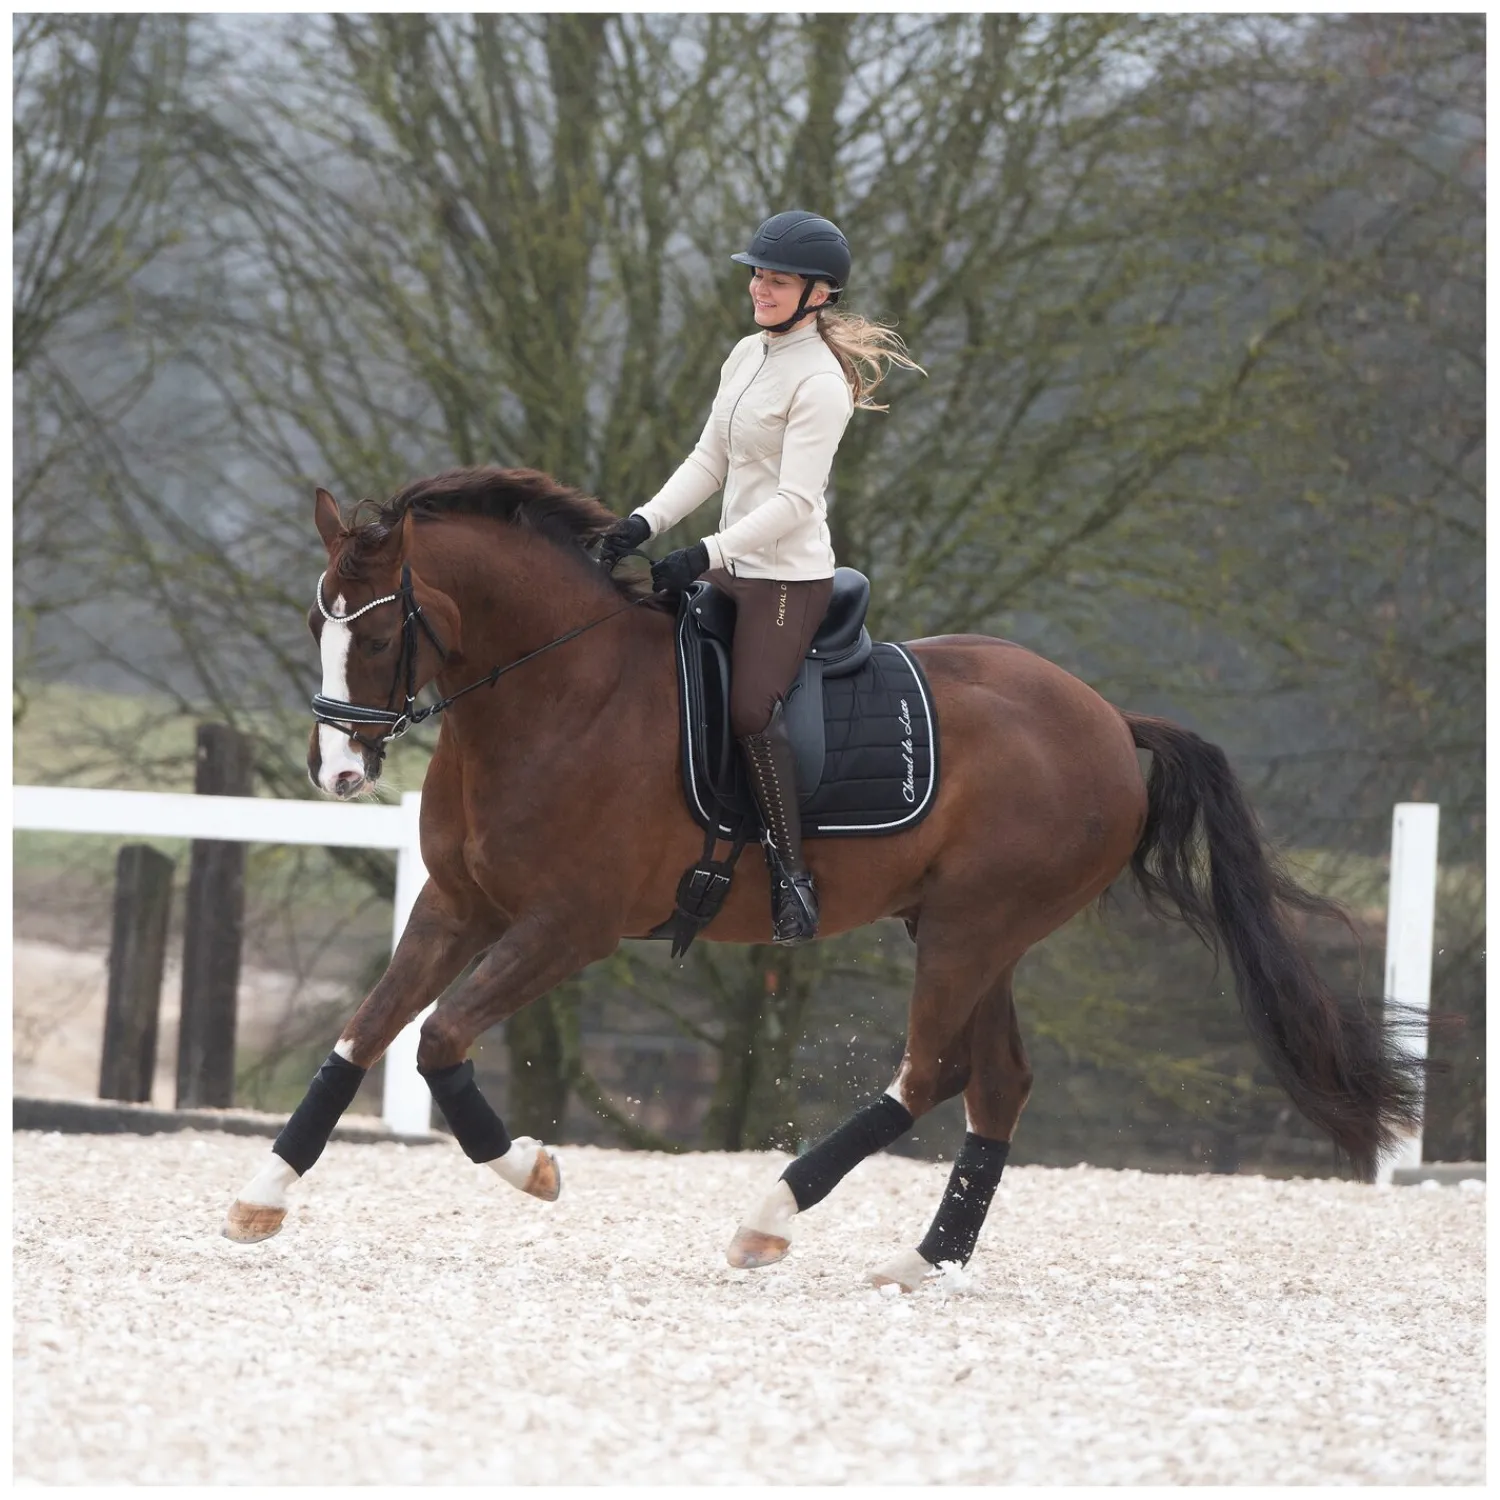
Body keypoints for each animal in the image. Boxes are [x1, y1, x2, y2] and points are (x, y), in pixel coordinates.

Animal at [225, 465, 1423, 1290]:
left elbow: (438, 1041)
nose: (336, 772)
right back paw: (926, 1262)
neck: (553, 690)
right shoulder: (457, 907)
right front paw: (260, 1194)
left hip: (974, 927)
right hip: (966, 930)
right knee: (996, 1083)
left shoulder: (567, 926)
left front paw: (527, 1165)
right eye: (316, 620)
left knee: (930, 1075)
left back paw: (769, 1215)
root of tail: (1105, 717)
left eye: (382, 631)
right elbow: (362, 1036)